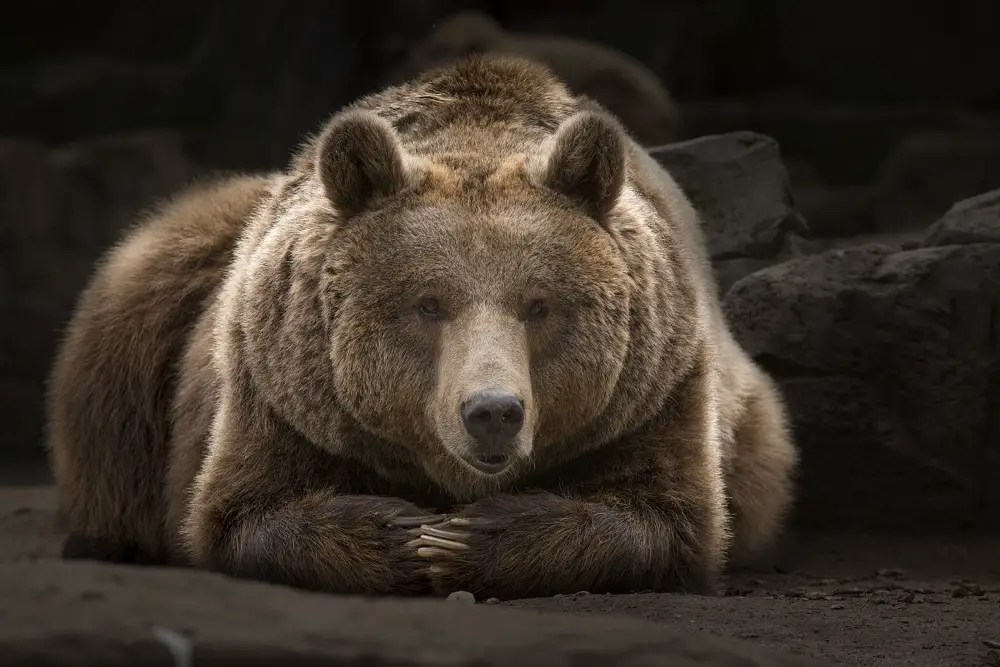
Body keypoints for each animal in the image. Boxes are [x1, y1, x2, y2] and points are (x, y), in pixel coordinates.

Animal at [46, 55, 797, 599]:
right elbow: (238, 513)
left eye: (540, 304)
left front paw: (465, 540)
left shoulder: (657, 387)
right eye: (428, 304)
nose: (493, 412)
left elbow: (667, 519)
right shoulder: (277, 382)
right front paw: (406, 535)